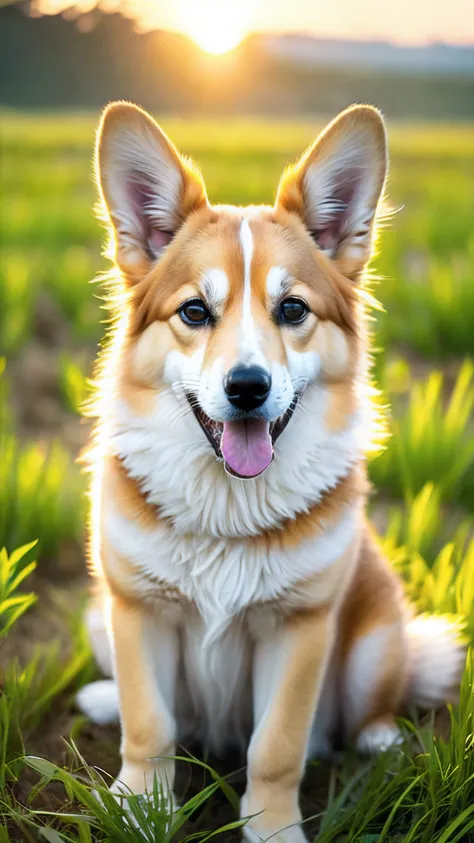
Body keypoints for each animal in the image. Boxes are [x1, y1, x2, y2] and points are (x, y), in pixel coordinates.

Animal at [77, 104, 462, 843]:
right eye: (195, 311)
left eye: (292, 310)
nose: (248, 387)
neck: (228, 507)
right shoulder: (138, 610)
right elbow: (151, 724)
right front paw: (141, 808)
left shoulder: (300, 627)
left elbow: (276, 746)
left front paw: (273, 828)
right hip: (99, 618)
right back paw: (102, 698)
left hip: (376, 638)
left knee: (376, 699)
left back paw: (380, 740)